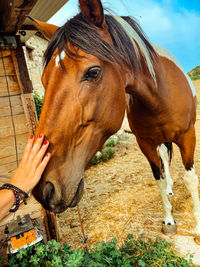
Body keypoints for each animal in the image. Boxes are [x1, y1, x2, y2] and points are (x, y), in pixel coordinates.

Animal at [30, 0, 199, 236]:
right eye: (44, 79)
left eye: (92, 72)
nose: (44, 188)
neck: (161, 95)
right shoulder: (146, 143)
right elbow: (158, 177)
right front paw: (168, 220)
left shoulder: (188, 136)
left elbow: (191, 179)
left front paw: (198, 224)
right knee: (165, 159)